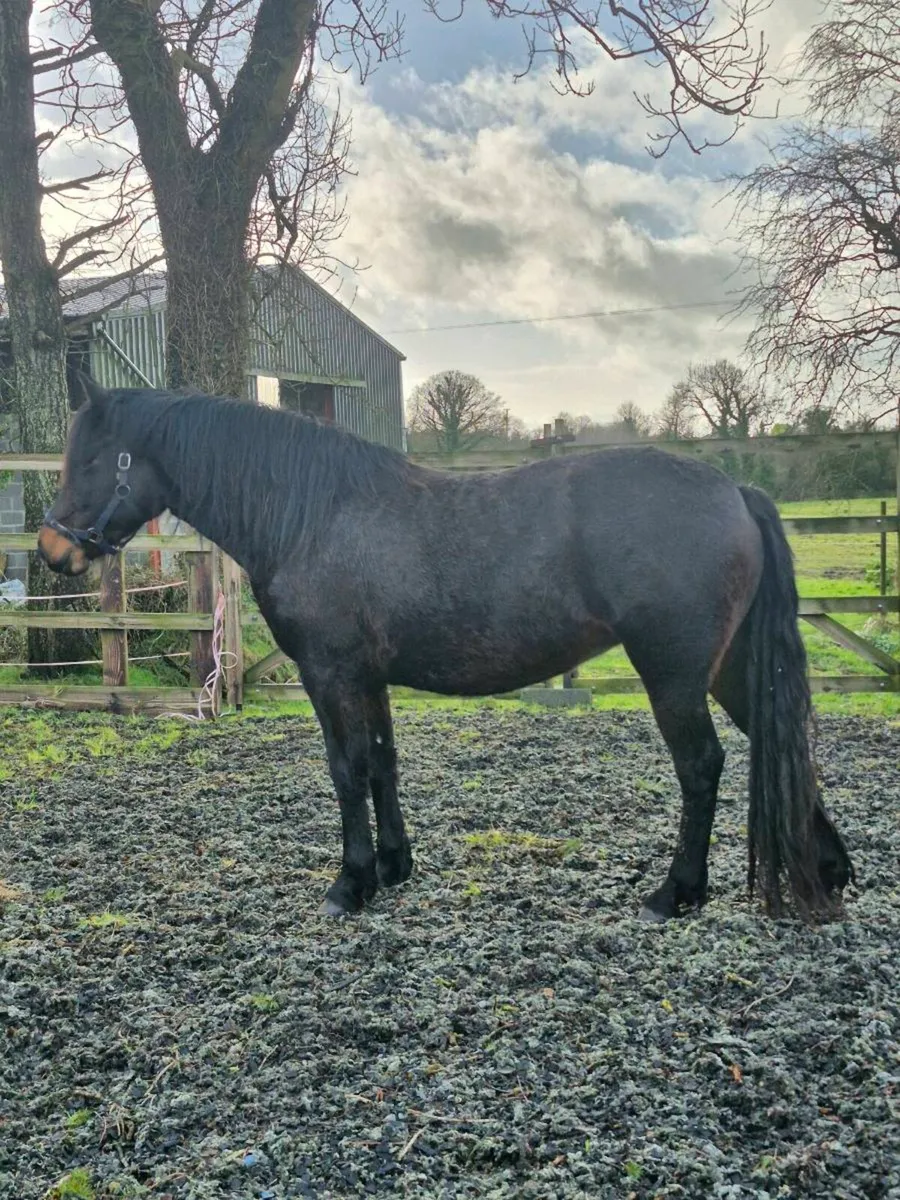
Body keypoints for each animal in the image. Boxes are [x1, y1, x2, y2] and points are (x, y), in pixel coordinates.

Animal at [38, 374, 853, 922]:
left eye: (93, 460)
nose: (52, 548)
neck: (312, 514)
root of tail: (735, 491)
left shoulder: (330, 674)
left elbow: (347, 770)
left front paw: (351, 882)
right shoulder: (369, 678)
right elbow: (381, 764)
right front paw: (394, 865)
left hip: (675, 675)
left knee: (703, 766)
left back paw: (676, 892)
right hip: (731, 667)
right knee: (780, 741)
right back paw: (829, 869)